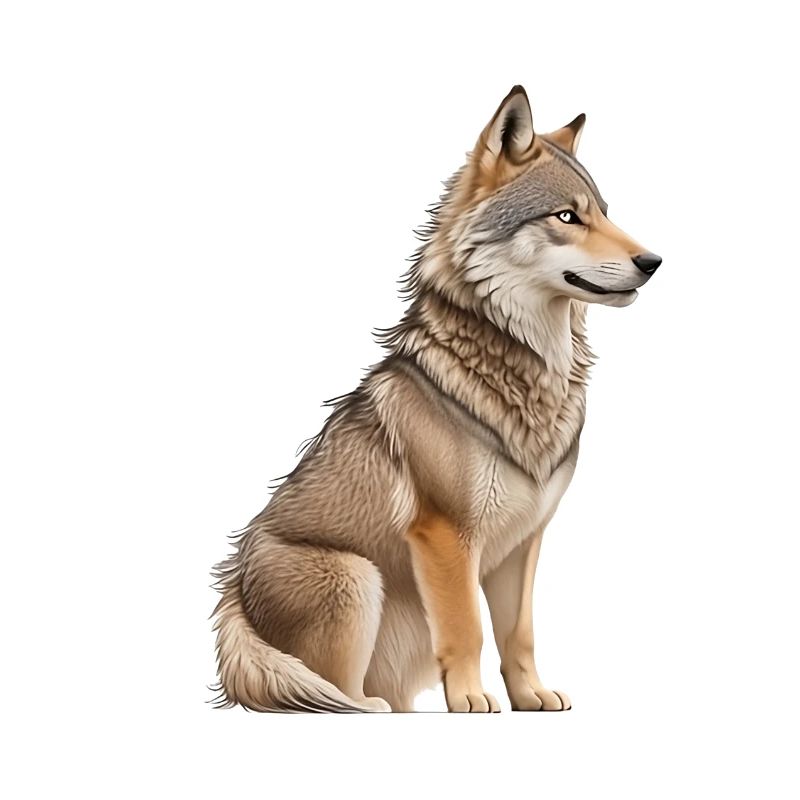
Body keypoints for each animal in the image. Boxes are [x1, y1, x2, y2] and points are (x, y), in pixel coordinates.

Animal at [211, 85, 661, 713]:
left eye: (604, 211)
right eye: (567, 216)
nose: (653, 262)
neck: (526, 375)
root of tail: (232, 592)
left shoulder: (524, 542)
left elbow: (518, 632)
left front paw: (530, 696)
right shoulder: (445, 535)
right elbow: (468, 628)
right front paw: (471, 701)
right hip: (356, 577)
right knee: (332, 690)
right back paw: (369, 709)